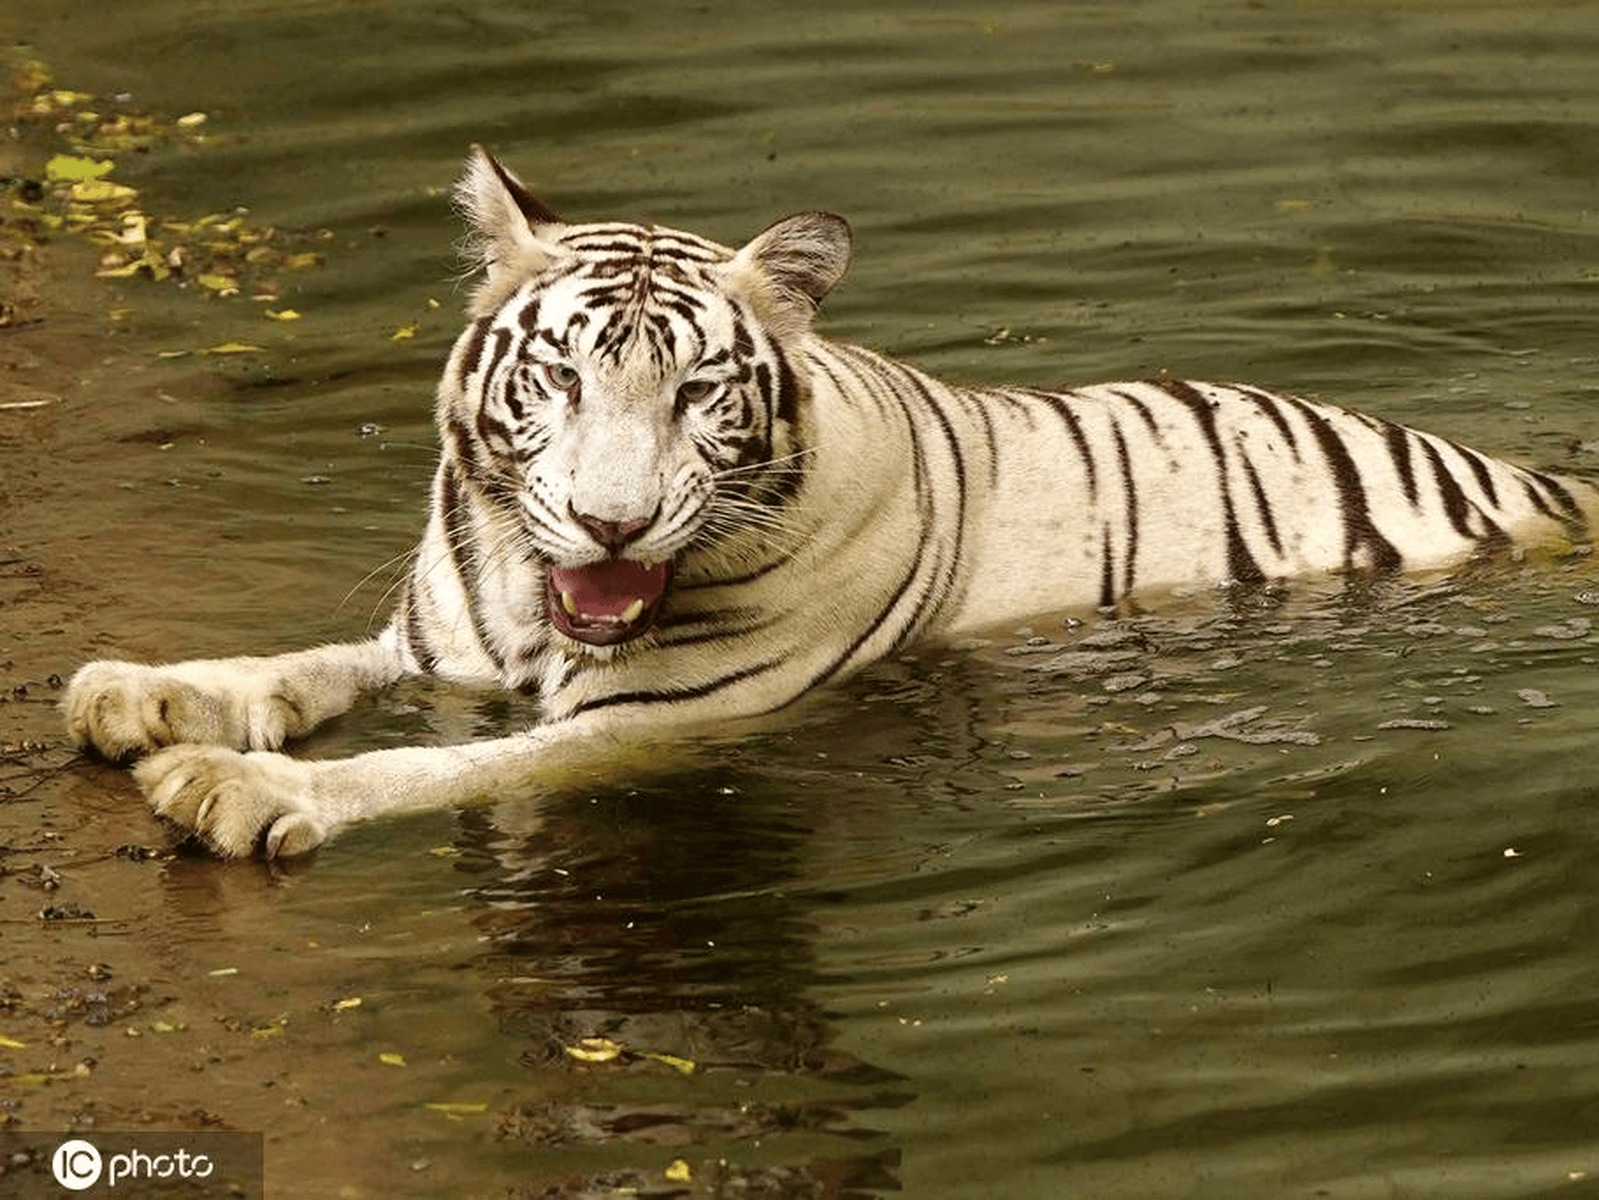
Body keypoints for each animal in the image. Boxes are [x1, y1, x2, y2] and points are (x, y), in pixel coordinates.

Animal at [63, 146, 1599, 859]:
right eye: (557, 376)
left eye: (697, 393)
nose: (614, 526)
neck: (538, 603)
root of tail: (1537, 481)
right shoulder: (437, 644)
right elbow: (301, 664)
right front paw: (137, 693)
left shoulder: (659, 723)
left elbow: (439, 768)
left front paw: (232, 789)